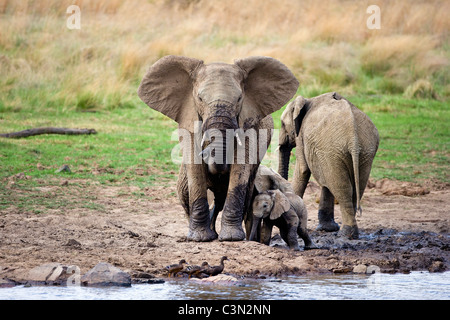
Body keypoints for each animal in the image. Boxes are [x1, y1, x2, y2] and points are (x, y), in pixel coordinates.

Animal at [137, 55, 298, 240]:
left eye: (239, 99)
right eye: (200, 99)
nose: (208, 153)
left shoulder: (250, 126)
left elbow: (240, 168)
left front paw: (231, 238)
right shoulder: (189, 120)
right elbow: (194, 168)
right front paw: (200, 238)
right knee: (186, 192)